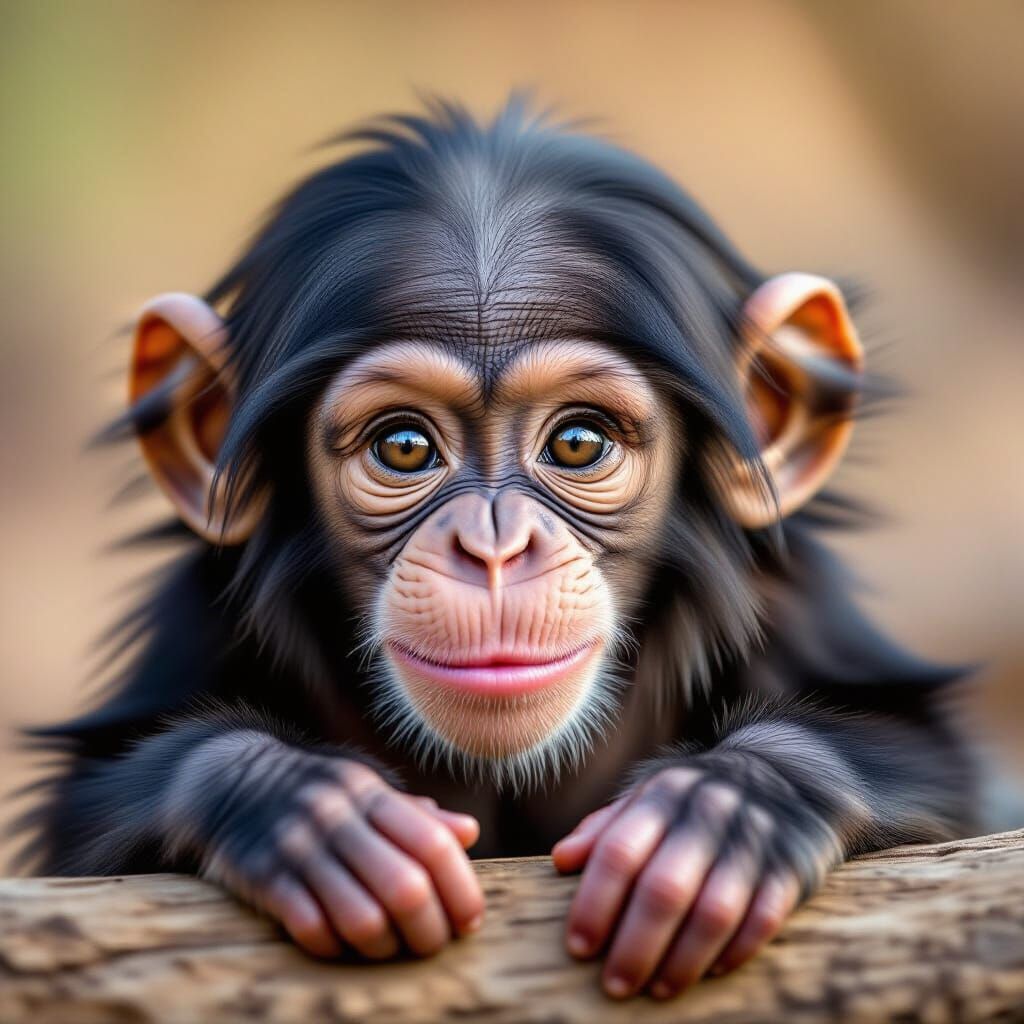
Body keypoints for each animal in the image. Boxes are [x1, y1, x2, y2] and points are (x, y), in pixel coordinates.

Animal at [18, 98, 975, 1000]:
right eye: (404, 447)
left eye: (579, 443)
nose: (493, 546)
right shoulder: (195, 617)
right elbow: (82, 824)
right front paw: (301, 807)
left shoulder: (796, 600)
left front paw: (731, 810)